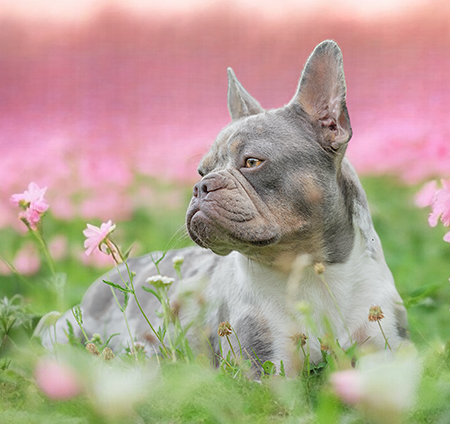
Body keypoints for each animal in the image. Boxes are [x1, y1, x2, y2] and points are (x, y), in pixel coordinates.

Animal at [41, 41, 408, 376]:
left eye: (252, 162)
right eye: (201, 171)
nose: (202, 186)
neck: (311, 270)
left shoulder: (387, 350)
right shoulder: (268, 368)